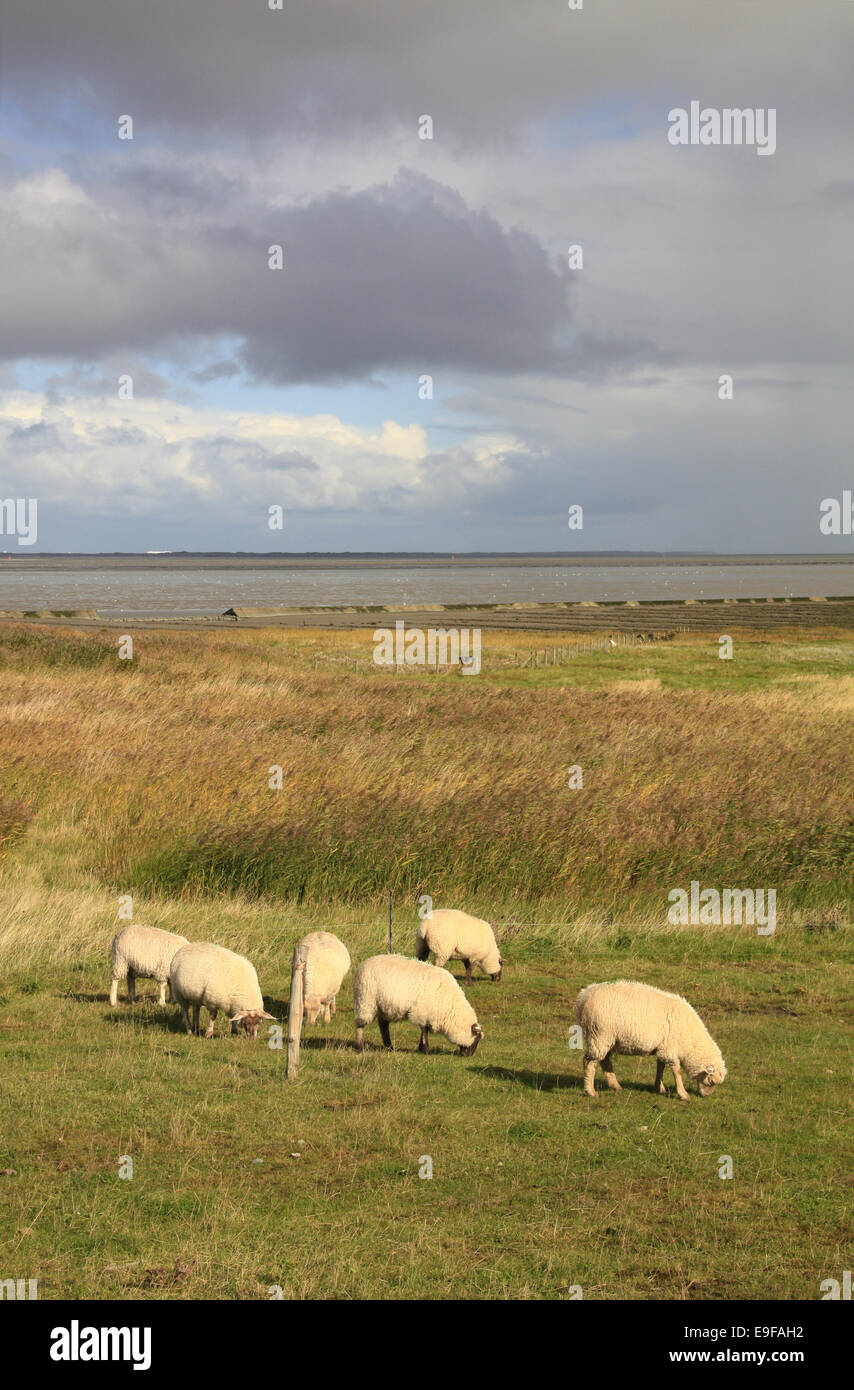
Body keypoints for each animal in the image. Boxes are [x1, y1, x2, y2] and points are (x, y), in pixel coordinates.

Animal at [353, 954, 483, 1056]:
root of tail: (362, 964)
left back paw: (389, 1046)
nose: (469, 1055)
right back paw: (360, 1047)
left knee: (383, 1025)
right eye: (475, 1038)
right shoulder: (422, 1012)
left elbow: (423, 1031)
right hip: (365, 1000)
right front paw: (425, 1050)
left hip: (384, 1006)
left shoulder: (425, 1014)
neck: (449, 1006)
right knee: (360, 1025)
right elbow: (424, 1031)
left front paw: (421, 1048)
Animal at [575, 979, 727, 1100]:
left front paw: (659, 1087)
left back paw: (616, 1086)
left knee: (604, 1061)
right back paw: (590, 1091)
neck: (690, 1042)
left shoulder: (663, 1048)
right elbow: (676, 1071)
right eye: (711, 1082)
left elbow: (660, 1067)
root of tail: (583, 996)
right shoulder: (670, 1049)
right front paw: (683, 1094)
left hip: (608, 1039)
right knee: (589, 1062)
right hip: (599, 1035)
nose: (705, 1096)